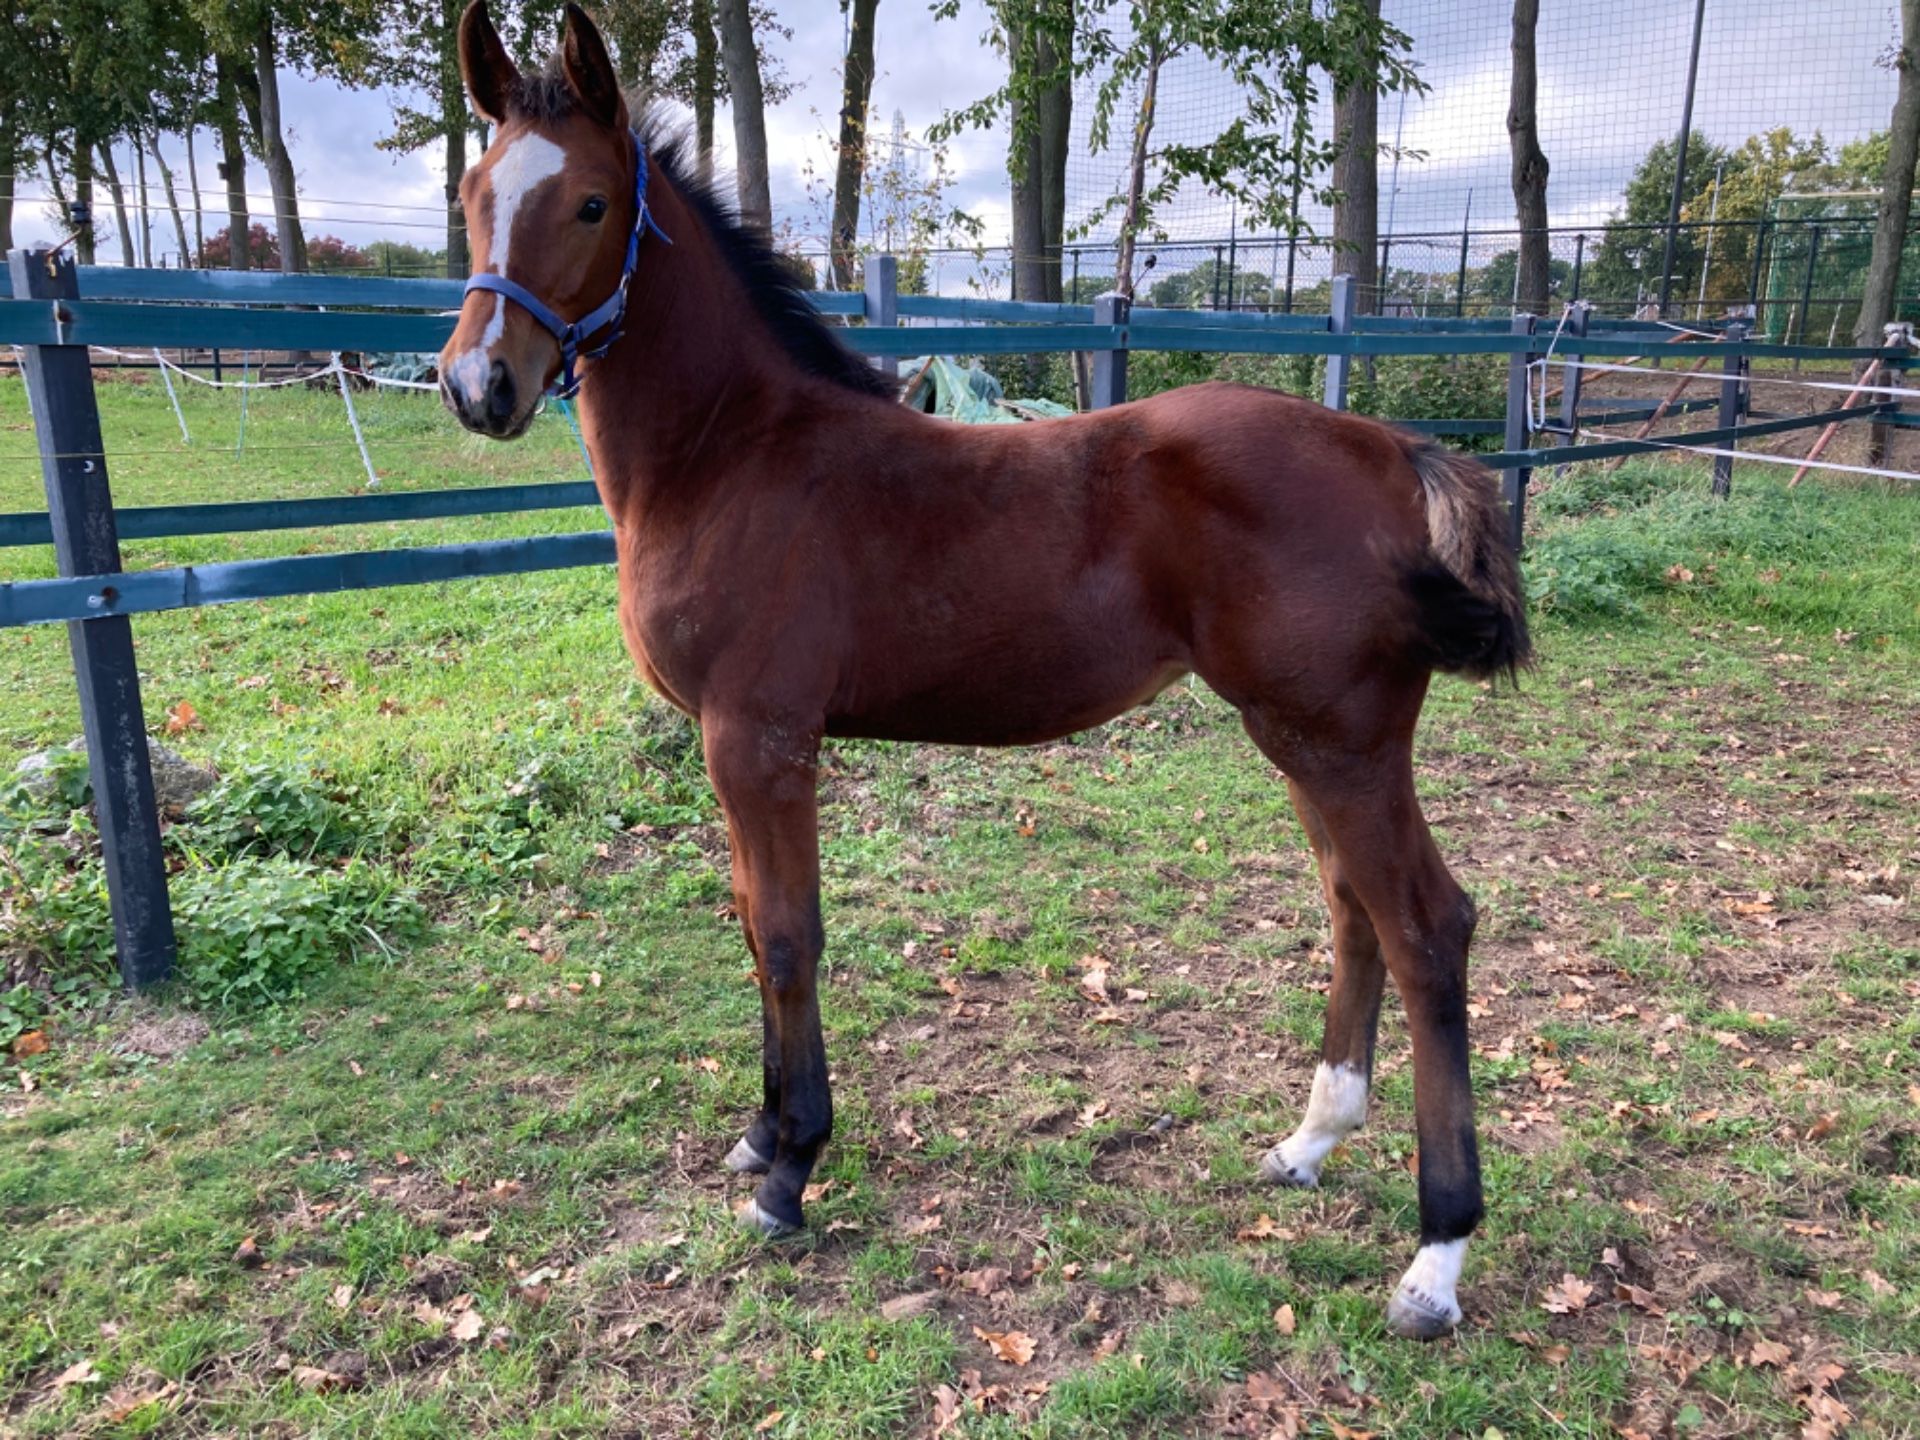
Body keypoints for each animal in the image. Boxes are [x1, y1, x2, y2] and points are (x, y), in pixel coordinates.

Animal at [439, 1, 1532, 1341]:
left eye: (591, 204)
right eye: (474, 193)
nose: (479, 385)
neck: (730, 457)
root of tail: (1387, 447)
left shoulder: (760, 738)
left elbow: (789, 934)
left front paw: (791, 1169)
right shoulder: (727, 746)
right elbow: (751, 922)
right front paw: (760, 1133)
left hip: (1344, 741)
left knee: (1427, 927)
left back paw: (1436, 1256)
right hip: (1303, 736)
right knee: (1353, 908)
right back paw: (1310, 1140)